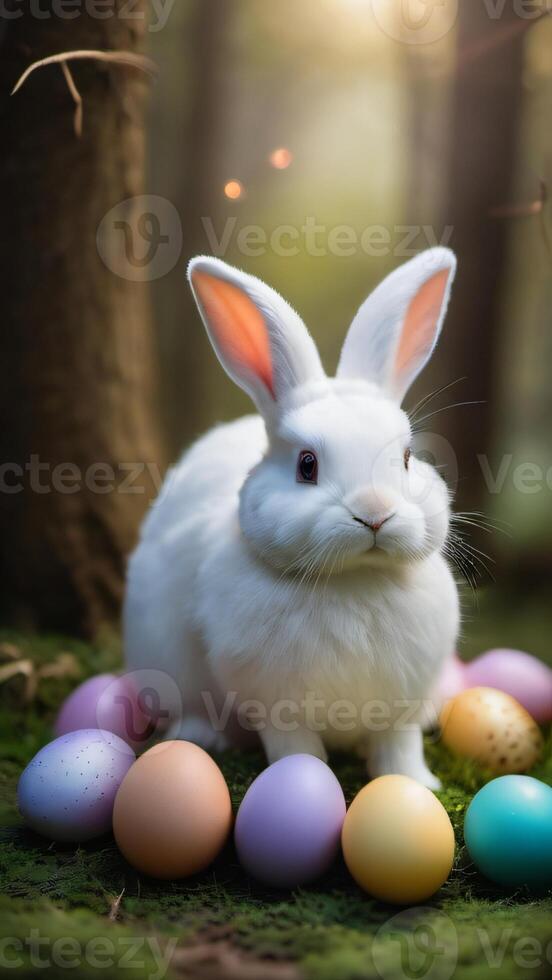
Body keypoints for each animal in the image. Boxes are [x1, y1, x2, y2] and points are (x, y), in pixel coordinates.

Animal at [124, 247, 458, 788]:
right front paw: (302, 783)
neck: (354, 581)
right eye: (306, 465)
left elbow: (399, 747)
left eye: (407, 458)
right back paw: (201, 736)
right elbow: (295, 747)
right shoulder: (278, 705)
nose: (375, 513)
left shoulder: (399, 706)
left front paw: (416, 784)